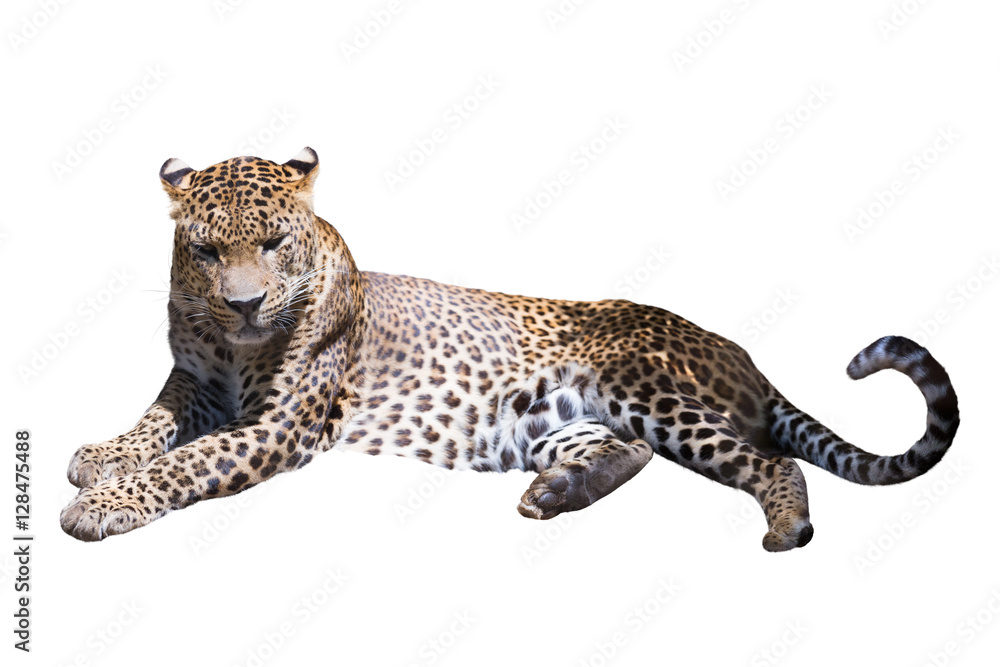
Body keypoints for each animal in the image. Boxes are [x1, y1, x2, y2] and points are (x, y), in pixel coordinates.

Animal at [60, 147, 960, 551]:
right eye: (207, 252)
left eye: (275, 242)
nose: (245, 303)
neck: (234, 349)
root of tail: (745, 357)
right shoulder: (194, 382)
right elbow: (154, 423)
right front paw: (98, 455)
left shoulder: (279, 424)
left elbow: (186, 459)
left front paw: (102, 502)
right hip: (552, 419)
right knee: (627, 452)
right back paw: (556, 493)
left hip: (646, 385)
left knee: (771, 459)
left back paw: (785, 527)